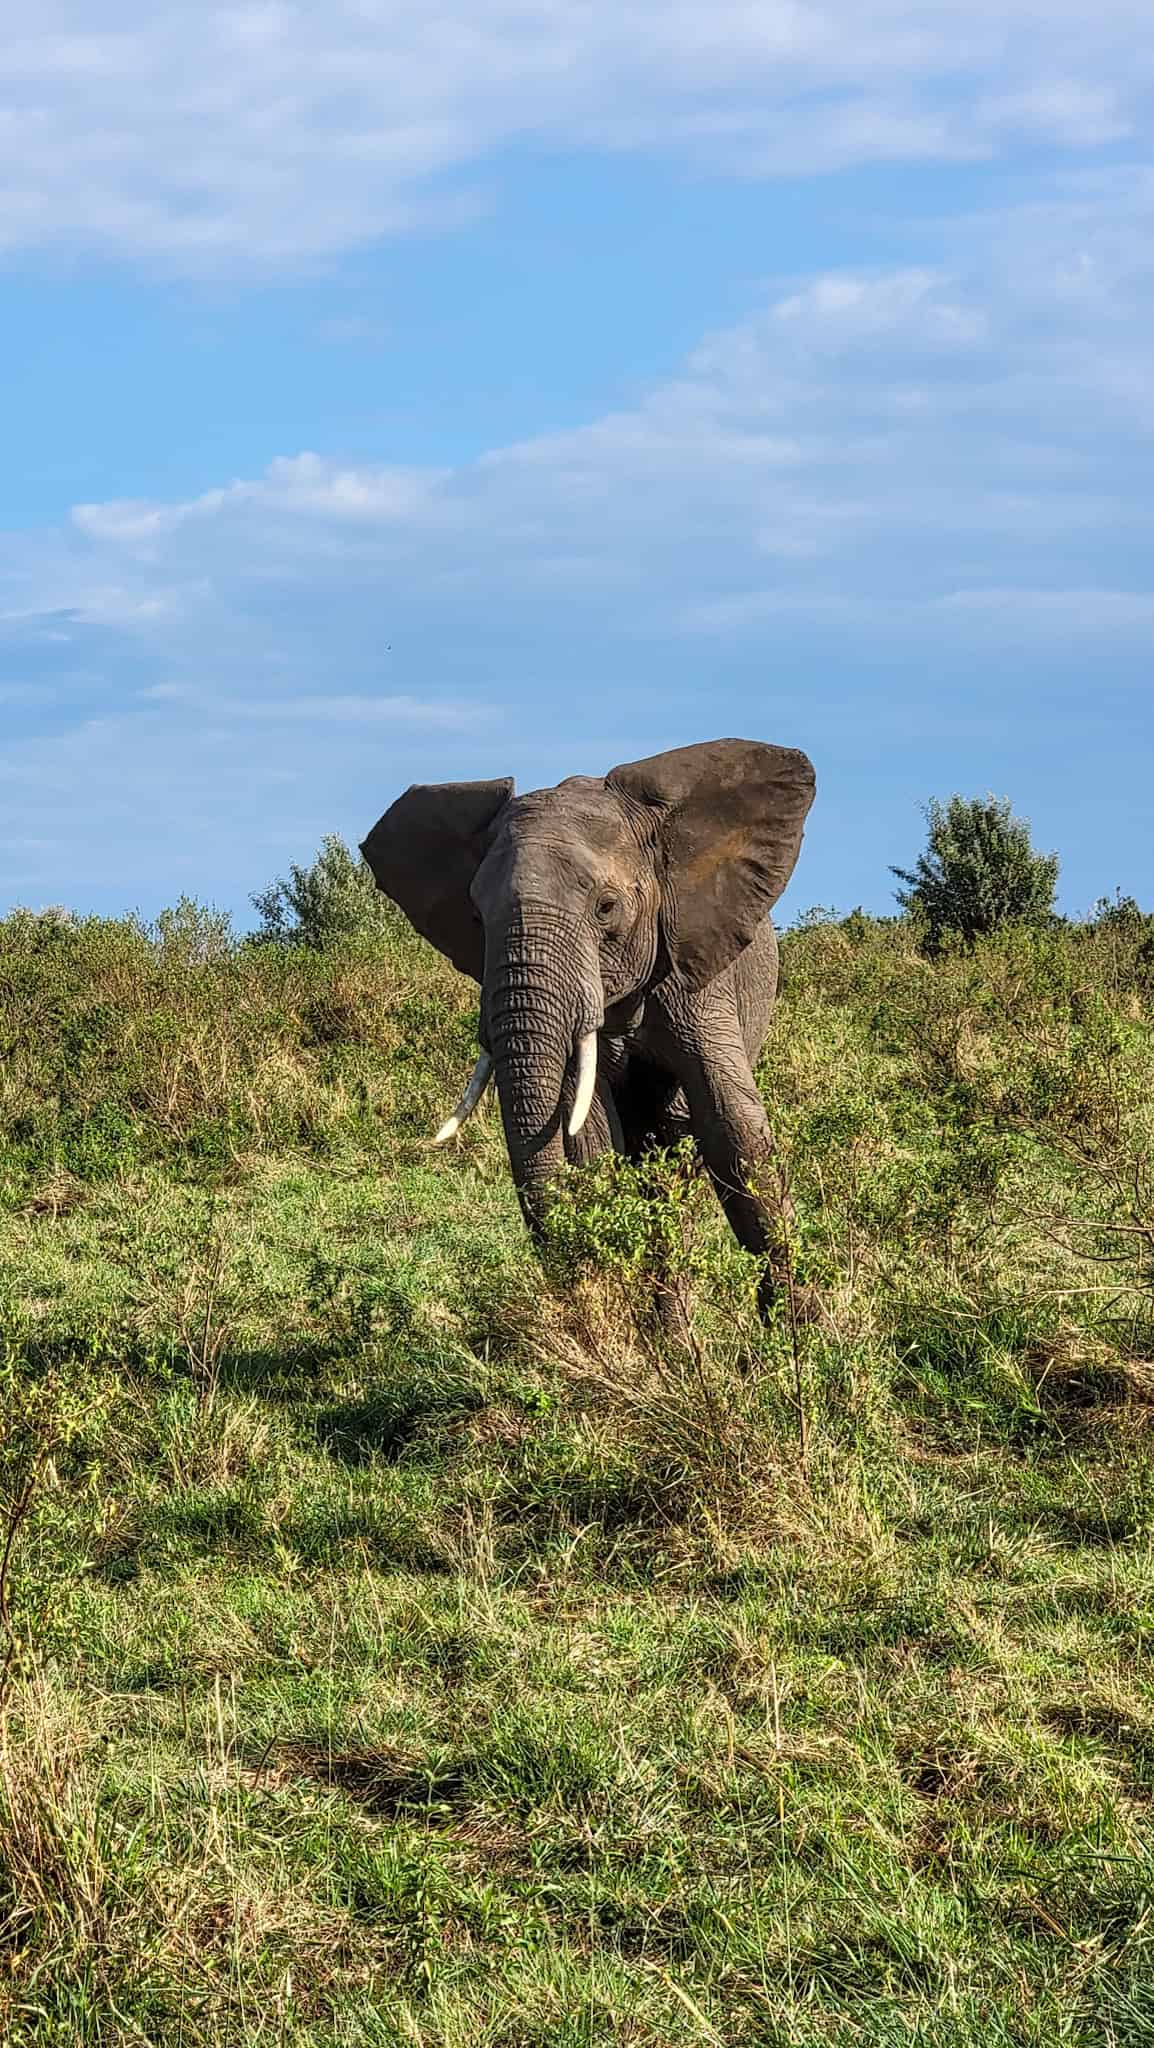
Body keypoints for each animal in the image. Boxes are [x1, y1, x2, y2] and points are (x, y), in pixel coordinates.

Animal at [360, 737, 811, 1310]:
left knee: (676, 1145)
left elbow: (734, 1130)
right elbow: (593, 1139)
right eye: (477, 918)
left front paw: (803, 1332)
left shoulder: (693, 968)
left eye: (606, 907)